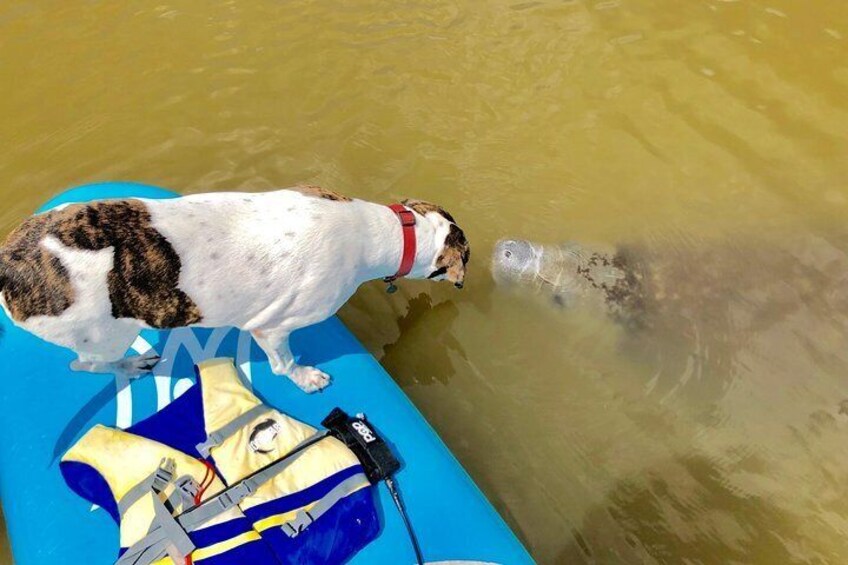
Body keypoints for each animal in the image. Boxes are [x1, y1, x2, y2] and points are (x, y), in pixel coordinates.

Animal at [0, 185, 470, 392]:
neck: (376, 230)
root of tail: (9, 263)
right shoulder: (273, 328)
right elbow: (283, 363)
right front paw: (305, 377)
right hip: (104, 335)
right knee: (85, 365)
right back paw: (126, 367)